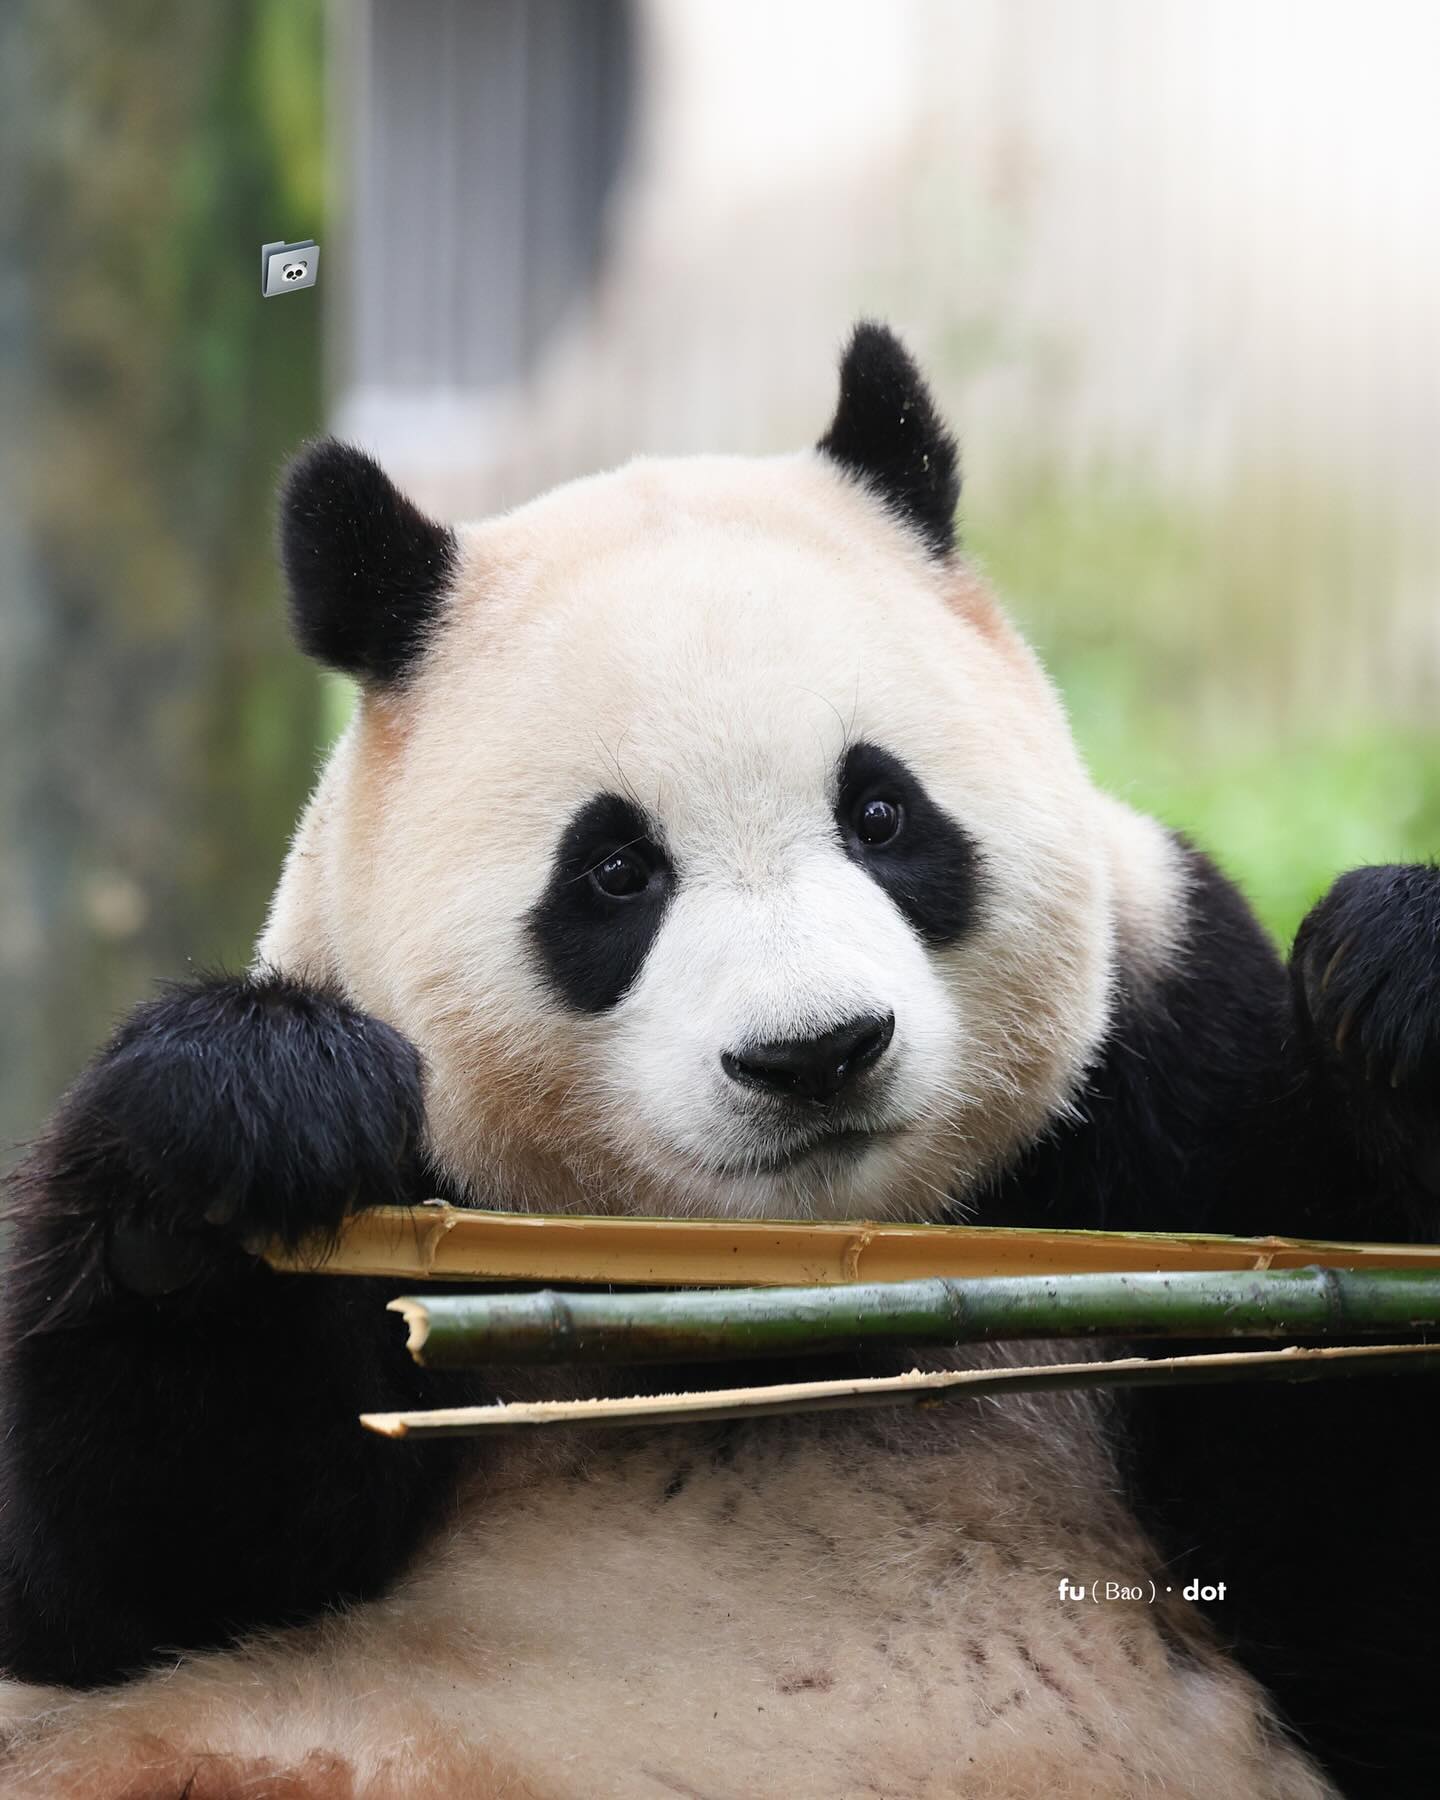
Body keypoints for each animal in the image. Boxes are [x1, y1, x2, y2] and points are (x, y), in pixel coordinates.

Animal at [0, 327, 1432, 1800]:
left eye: (882, 813)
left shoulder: (1178, 1065)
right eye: (617, 871)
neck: (777, 1299)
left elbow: (1350, 1589)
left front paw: (1394, 983)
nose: (816, 1055)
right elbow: (126, 1577)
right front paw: (250, 1114)